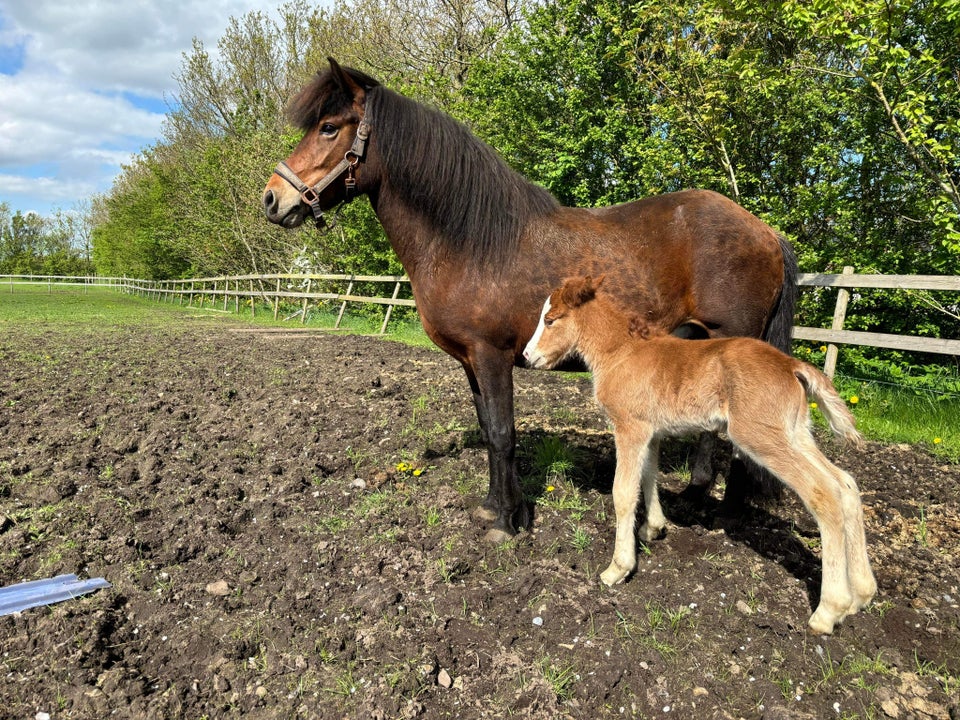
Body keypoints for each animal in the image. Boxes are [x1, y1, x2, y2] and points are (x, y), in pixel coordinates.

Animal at [260, 62, 796, 544]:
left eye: (329, 127)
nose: (272, 198)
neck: (471, 241)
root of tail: (766, 232)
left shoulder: (493, 355)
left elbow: (502, 432)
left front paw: (506, 523)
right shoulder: (470, 362)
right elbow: (489, 429)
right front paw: (494, 507)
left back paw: (715, 509)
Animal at [524, 278, 876, 636]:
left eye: (550, 320)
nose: (527, 355)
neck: (621, 353)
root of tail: (792, 365)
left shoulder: (630, 428)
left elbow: (622, 493)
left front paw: (618, 568)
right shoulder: (650, 432)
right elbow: (648, 476)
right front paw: (653, 528)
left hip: (760, 437)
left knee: (823, 493)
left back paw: (829, 610)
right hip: (796, 434)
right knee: (846, 483)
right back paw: (861, 594)